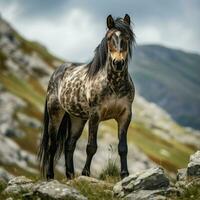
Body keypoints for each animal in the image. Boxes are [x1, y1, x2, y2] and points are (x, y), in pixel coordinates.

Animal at [38, 13, 135, 180]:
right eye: (109, 38)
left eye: (127, 37)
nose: (118, 63)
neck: (114, 84)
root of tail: (57, 72)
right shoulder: (95, 115)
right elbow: (91, 147)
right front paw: (86, 173)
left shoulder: (125, 115)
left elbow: (123, 147)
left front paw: (124, 174)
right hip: (55, 113)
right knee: (53, 145)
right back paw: (50, 176)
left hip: (77, 118)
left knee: (69, 145)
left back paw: (70, 175)